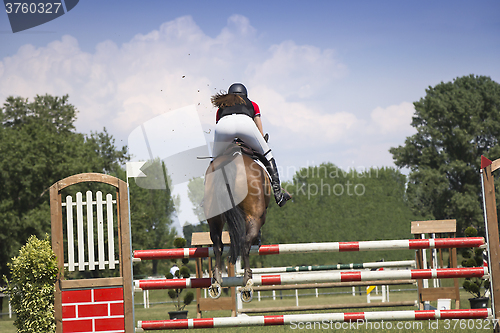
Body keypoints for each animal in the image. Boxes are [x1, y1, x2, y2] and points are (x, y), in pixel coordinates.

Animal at [202, 143, 270, 300]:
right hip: (255, 215)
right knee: (245, 244)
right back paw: (248, 282)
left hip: (214, 217)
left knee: (217, 245)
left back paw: (216, 280)